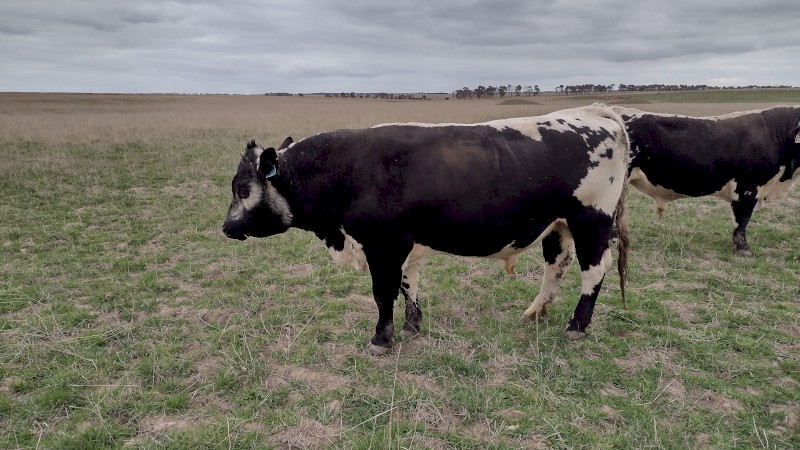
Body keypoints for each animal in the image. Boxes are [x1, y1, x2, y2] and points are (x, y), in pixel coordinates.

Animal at [222, 104, 631, 355]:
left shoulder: (383, 245)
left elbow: (383, 293)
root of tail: (594, 112)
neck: (348, 170)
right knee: (555, 266)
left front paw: (381, 338)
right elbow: (408, 285)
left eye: (243, 189)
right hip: (558, 225)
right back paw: (536, 311)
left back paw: (577, 325)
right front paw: (411, 325)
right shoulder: (404, 244)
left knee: (594, 270)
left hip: (590, 220)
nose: (226, 227)